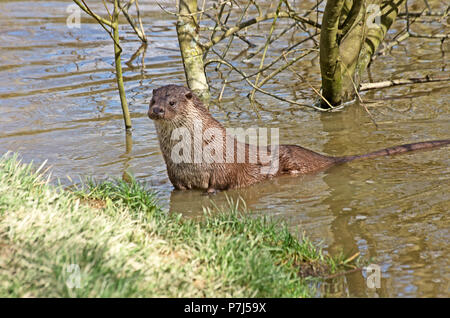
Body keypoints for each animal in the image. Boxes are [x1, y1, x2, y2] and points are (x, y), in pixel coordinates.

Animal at [149, 84, 450, 193]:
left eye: (172, 102)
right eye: (153, 99)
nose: (157, 110)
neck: (191, 155)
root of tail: (325, 158)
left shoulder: (222, 165)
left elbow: (221, 181)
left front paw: (210, 193)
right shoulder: (175, 173)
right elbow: (178, 188)